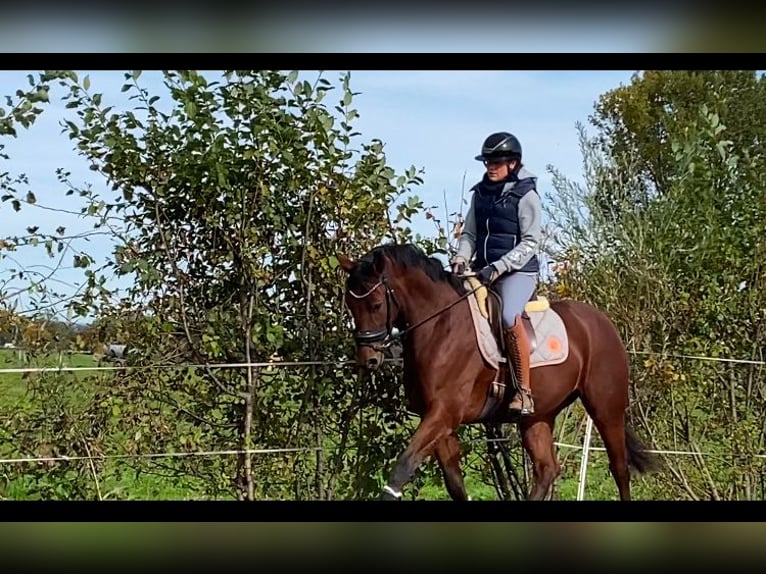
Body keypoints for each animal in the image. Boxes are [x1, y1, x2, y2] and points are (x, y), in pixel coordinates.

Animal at [338, 243, 660, 504]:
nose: (369, 360)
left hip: (606, 409)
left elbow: (402, 468)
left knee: (619, 468)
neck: (440, 326)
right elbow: (455, 485)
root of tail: (601, 321)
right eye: (350, 305)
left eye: (376, 304)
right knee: (547, 469)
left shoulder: (443, 413)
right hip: (537, 416)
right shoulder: (438, 421)